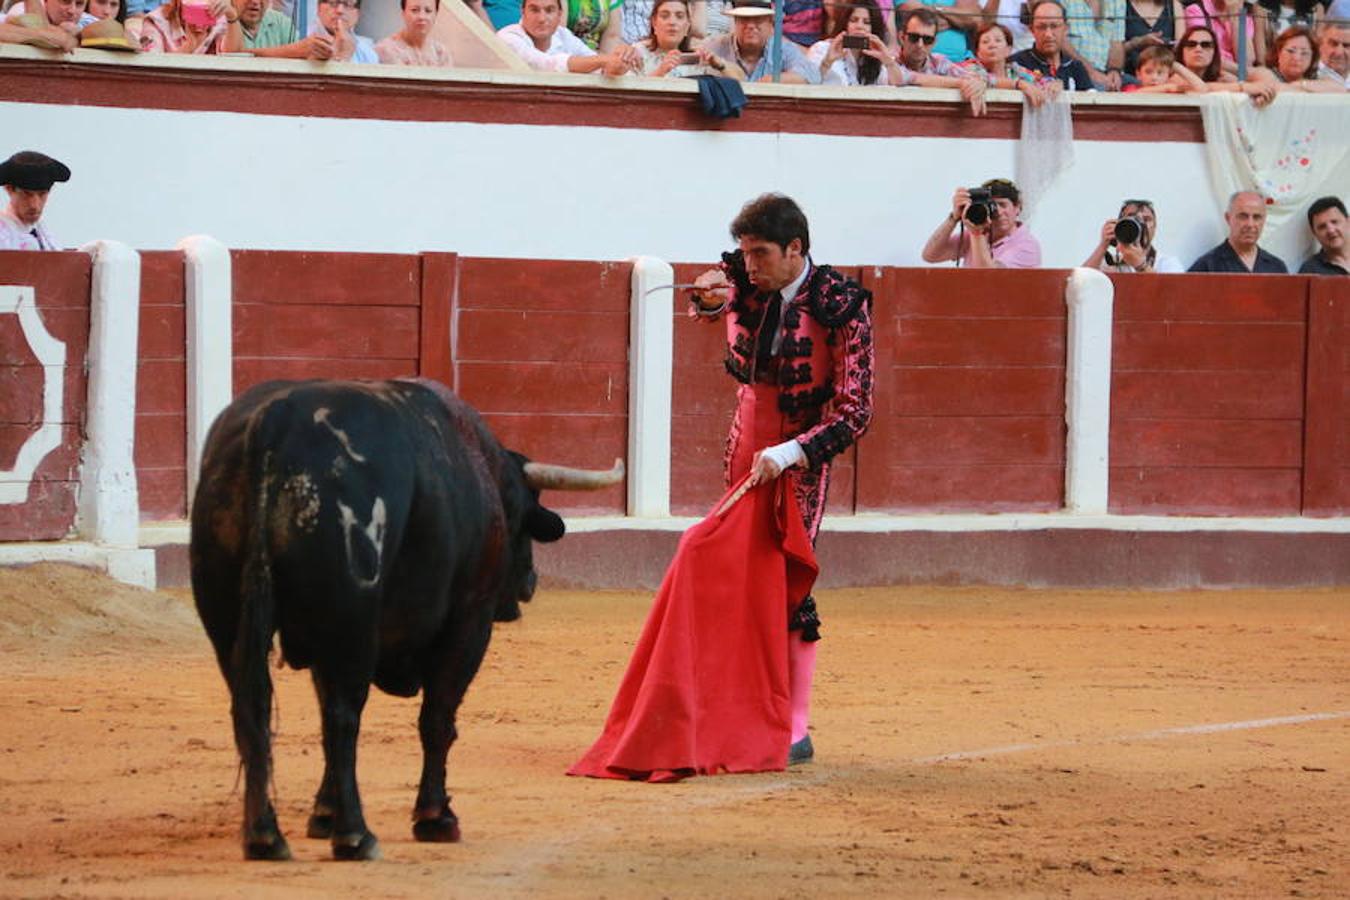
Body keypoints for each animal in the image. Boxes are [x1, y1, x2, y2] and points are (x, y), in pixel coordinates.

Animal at [190, 377, 621, 858]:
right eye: (525, 516)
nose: (530, 581)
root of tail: (274, 421)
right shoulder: (469, 620)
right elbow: (438, 719)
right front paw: (435, 817)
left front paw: (323, 813)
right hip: (353, 622)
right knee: (343, 716)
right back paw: (355, 836)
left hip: (229, 619)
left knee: (253, 708)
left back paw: (264, 836)